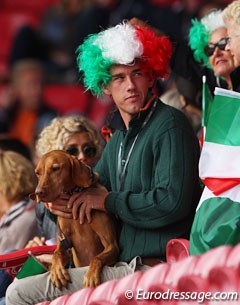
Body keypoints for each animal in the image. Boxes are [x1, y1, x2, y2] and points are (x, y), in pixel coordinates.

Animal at [31, 150, 119, 288]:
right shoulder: (63, 242)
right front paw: (56, 270)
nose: (38, 193)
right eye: (37, 173)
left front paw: (91, 275)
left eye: (55, 168)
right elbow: (56, 254)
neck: (74, 193)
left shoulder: (111, 245)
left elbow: (96, 258)